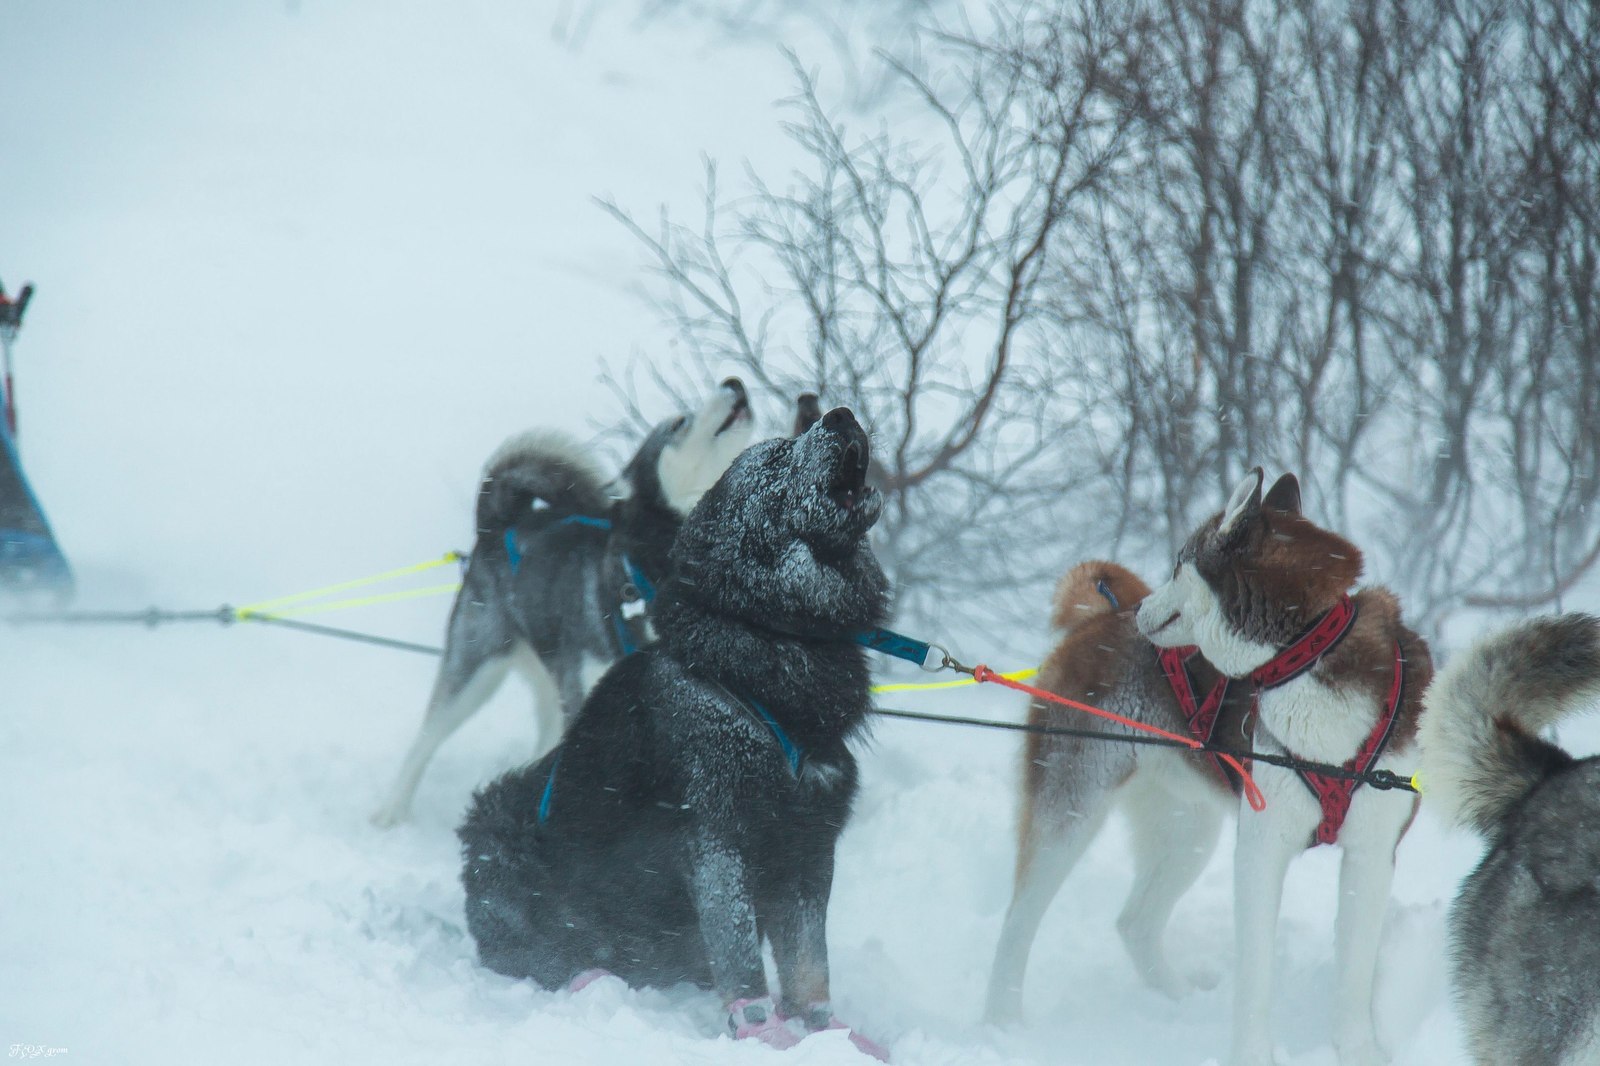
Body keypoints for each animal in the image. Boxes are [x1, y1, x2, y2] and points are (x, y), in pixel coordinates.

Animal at [460, 403, 889, 1049]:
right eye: (775, 456)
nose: (840, 413)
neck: (762, 640)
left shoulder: (808, 844)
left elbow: (810, 964)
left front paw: (826, 1034)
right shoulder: (715, 839)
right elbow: (742, 959)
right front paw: (767, 1034)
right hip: (498, 837)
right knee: (537, 954)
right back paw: (589, 978)